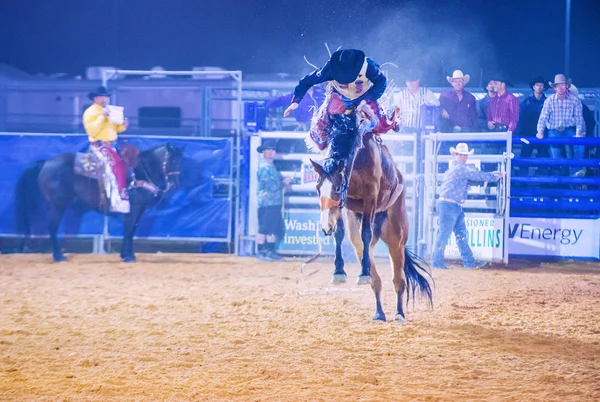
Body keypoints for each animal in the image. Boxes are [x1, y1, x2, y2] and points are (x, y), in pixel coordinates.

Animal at [14, 143, 183, 262]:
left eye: (180, 161)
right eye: (171, 161)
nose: (175, 185)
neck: (140, 172)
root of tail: (46, 162)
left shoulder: (139, 209)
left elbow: (131, 230)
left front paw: (126, 254)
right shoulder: (134, 208)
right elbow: (129, 230)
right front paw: (129, 257)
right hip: (58, 204)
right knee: (53, 227)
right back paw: (59, 257)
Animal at [312, 113, 434, 324]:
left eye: (337, 187)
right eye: (318, 188)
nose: (325, 226)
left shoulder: (370, 196)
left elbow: (366, 233)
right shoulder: (345, 205)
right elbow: (340, 233)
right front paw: (338, 272)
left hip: (396, 240)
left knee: (398, 280)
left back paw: (399, 314)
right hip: (362, 245)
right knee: (374, 276)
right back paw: (379, 312)